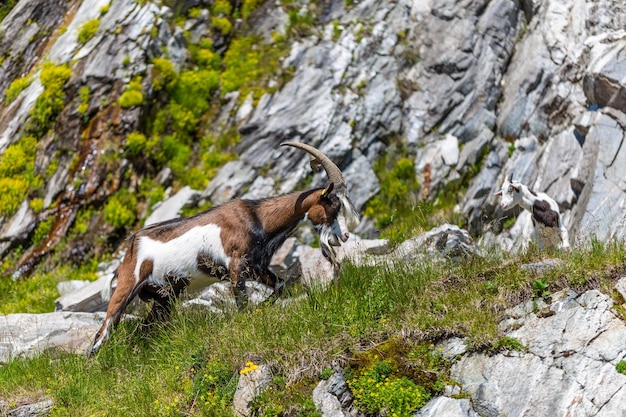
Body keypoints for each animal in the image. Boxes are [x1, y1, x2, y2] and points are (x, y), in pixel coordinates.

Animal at [90, 141, 358, 352]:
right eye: (333, 204)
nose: (344, 235)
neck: (257, 218)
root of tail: (129, 250)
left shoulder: (256, 267)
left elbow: (280, 286)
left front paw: (262, 308)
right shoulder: (236, 266)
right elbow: (242, 304)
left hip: (165, 296)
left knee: (146, 328)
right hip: (127, 287)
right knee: (102, 334)